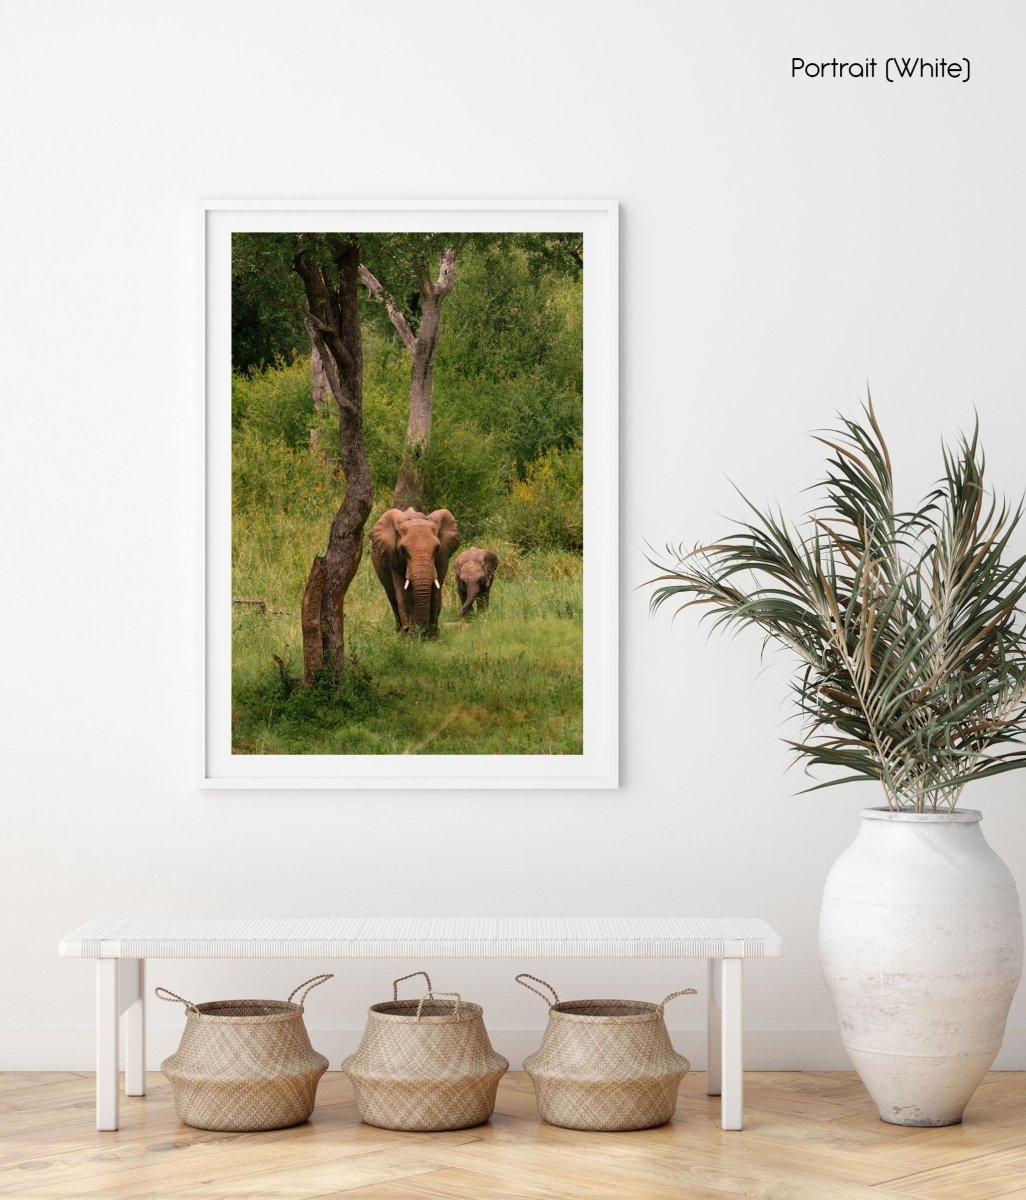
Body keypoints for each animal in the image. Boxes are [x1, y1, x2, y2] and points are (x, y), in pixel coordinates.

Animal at [372, 506, 458, 638]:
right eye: (402, 550)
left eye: (437, 549)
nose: (421, 630)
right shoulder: (393, 558)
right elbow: (403, 594)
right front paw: (411, 636)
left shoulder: (442, 558)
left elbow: (435, 592)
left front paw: (432, 635)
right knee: (393, 598)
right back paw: (400, 633)